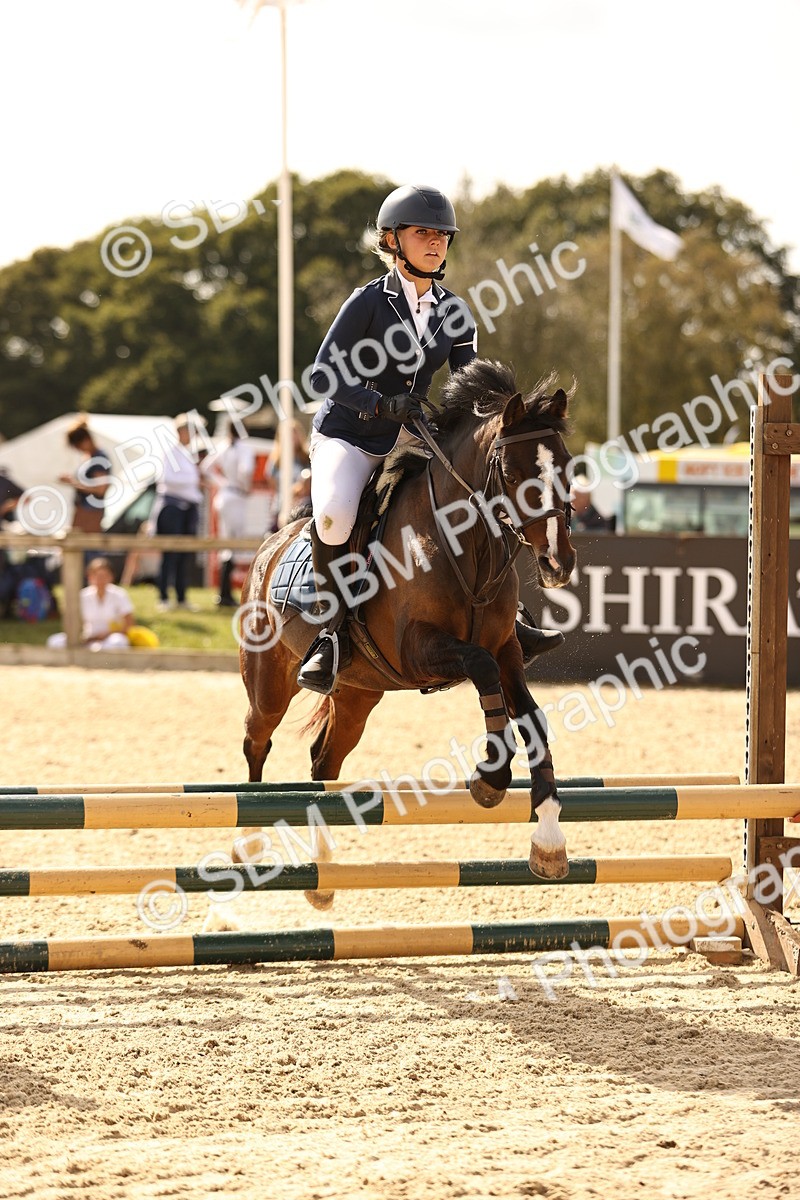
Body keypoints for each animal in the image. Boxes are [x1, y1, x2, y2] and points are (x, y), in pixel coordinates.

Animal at [236, 359, 577, 904]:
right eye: (512, 473)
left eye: (566, 465)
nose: (557, 563)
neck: (464, 543)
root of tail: (272, 542)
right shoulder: (418, 650)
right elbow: (482, 672)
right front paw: (491, 777)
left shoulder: (506, 649)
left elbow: (533, 719)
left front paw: (548, 838)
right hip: (270, 682)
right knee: (256, 742)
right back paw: (247, 845)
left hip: (358, 693)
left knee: (324, 763)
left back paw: (323, 874)